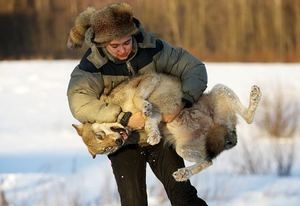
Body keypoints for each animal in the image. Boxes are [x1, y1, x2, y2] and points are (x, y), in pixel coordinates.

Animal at [72, 72, 260, 180]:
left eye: (100, 136)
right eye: (107, 149)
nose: (118, 143)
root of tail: (218, 129)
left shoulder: (150, 79)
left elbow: (139, 99)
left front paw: (145, 108)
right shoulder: (156, 117)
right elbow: (150, 124)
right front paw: (154, 135)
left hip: (220, 89)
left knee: (248, 118)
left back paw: (255, 96)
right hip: (183, 149)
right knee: (208, 161)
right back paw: (183, 174)